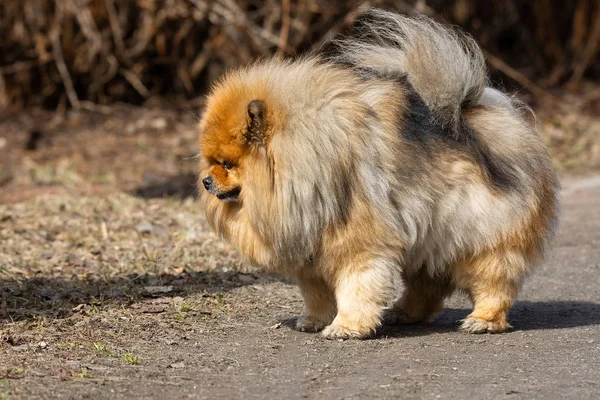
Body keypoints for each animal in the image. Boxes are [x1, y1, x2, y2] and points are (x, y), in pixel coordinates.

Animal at [199, 10, 560, 340]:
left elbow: (356, 288)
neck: (309, 159)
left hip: (480, 235)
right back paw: (406, 313)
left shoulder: (359, 244)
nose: (205, 181)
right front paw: (314, 320)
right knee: (428, 284)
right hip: (430, 236)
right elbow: (316, 294)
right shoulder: (312, 252)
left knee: (493, 279)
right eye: (210, 162)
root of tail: (478, 114)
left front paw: (346, 327)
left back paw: (483, 320)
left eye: (227, 164)